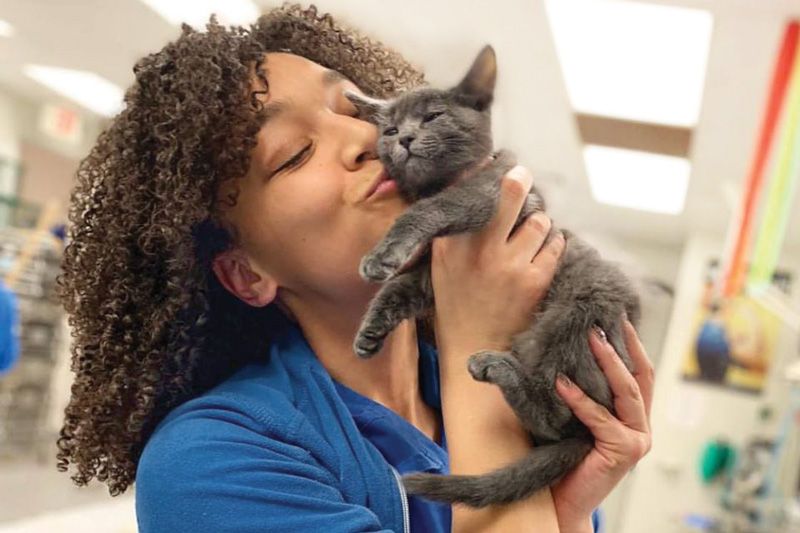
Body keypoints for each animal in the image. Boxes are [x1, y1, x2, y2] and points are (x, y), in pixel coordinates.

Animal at [346, 45, 640, 508]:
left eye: (433, 116)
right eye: (389, 129)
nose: (404, 139)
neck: (440, 181)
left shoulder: (486, 193)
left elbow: (429, 210)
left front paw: (381, 256)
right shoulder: (430, 276)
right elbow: (399, 289)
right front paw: (370, 331)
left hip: (575, 314)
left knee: (559, 415)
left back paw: (498, 369)